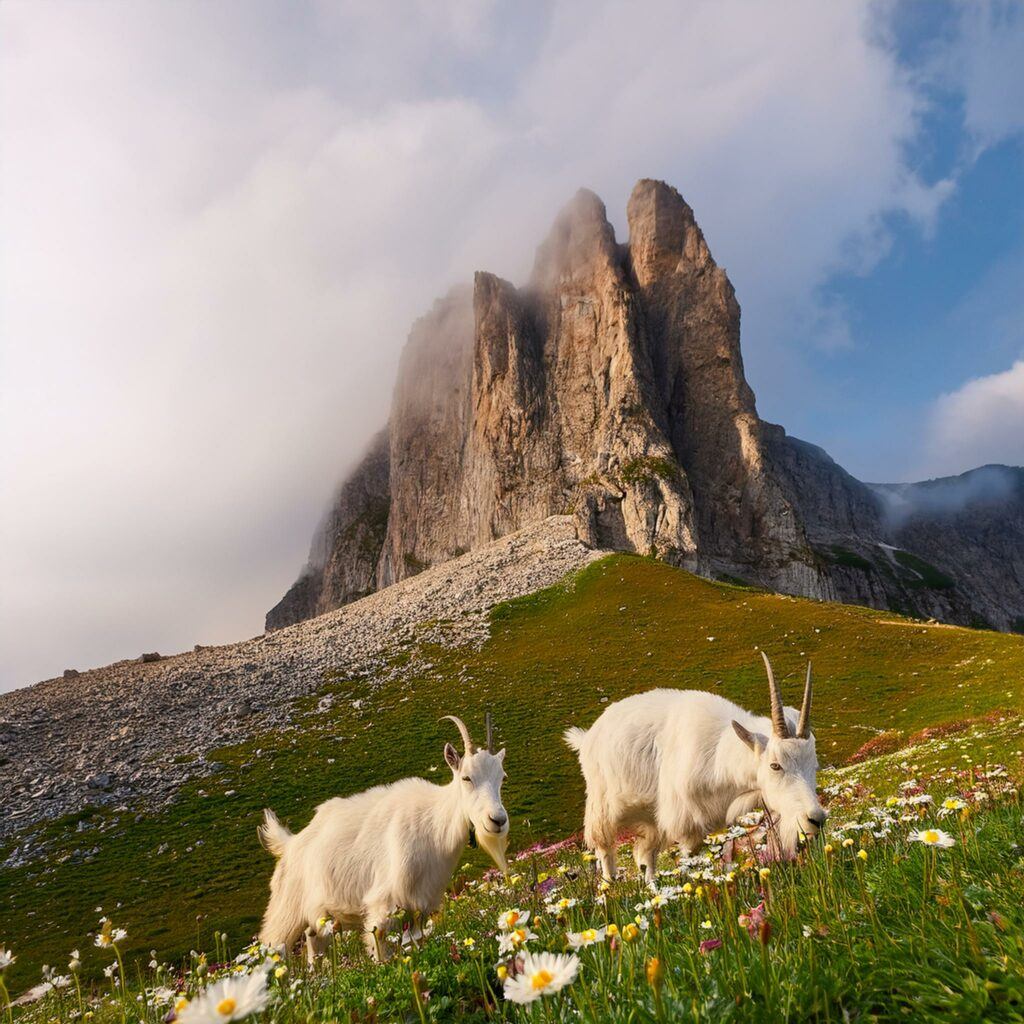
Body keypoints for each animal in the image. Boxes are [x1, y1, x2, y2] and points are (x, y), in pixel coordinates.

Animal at [258, 712, 509, 958]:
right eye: (466, 777)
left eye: (502, 777)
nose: (497, 820)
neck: (435, 824)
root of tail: (289, 843)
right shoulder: (383, 908)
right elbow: (380, 951)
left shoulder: (420, 908)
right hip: (285, 914)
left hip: (317, 921)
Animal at [565, 651, 827, 884]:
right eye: (775, 765)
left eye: (813, 766)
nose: (815, 820)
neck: (720, 756)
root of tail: (587, 737)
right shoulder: (687, 827)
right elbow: (690, 859)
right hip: (602, 806)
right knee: (604, 847)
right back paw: (610, 888)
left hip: (650, 818)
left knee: (645, 854)